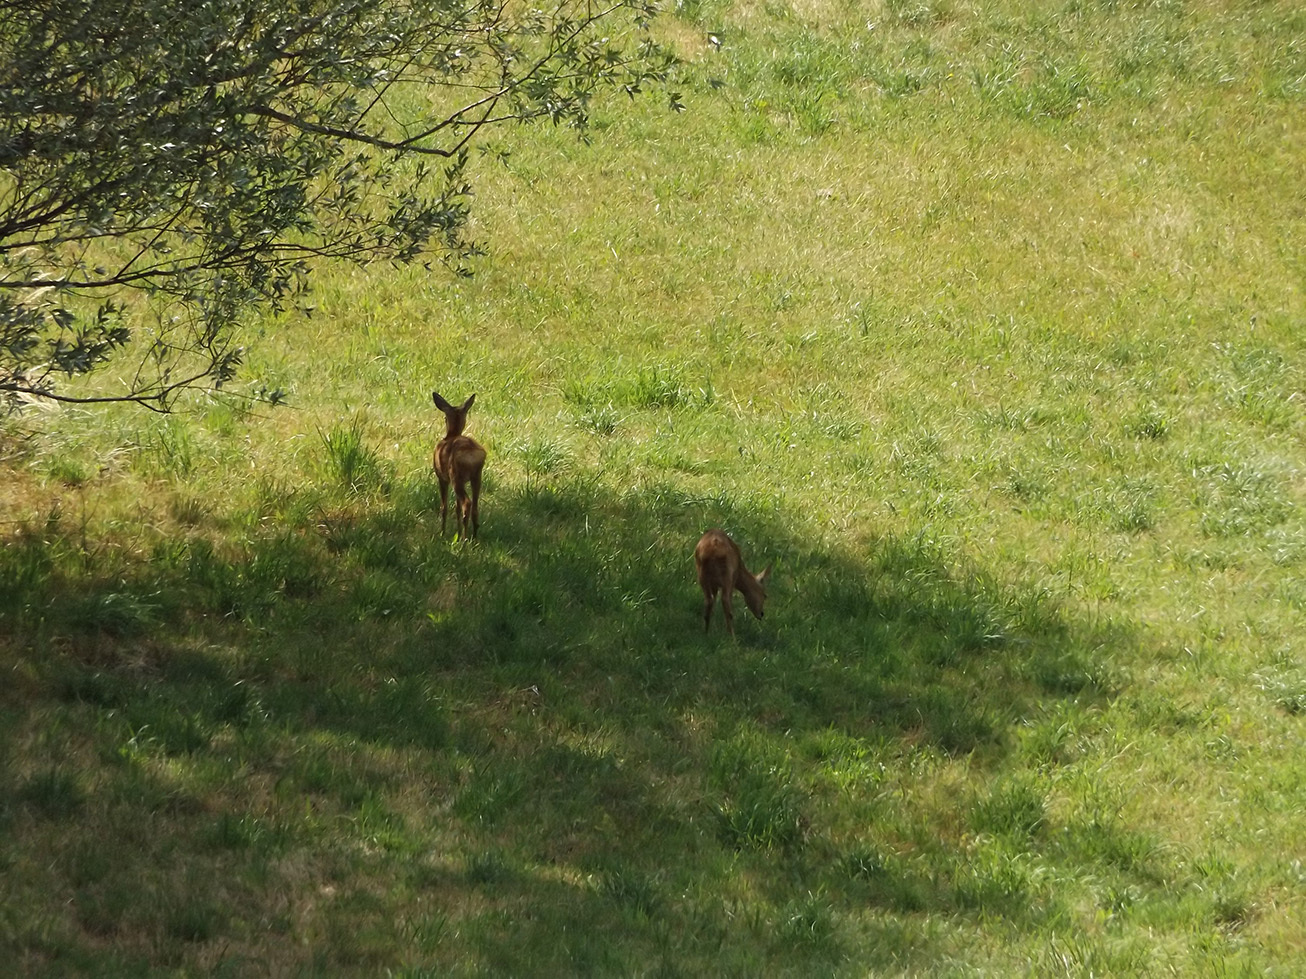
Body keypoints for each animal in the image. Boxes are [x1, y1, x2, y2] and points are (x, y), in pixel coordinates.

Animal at [430, 394, 488, 545]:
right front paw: (457, 531)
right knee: (474, 507)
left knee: (467, 504)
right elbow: (456, 508)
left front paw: (442, 533)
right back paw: (473, 537)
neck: (451, 435)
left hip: (456, 477)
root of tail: (472, 455)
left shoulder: (442, 477)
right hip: (476, 477)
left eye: (445, 418)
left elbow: (444, 507)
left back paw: (464, 540)